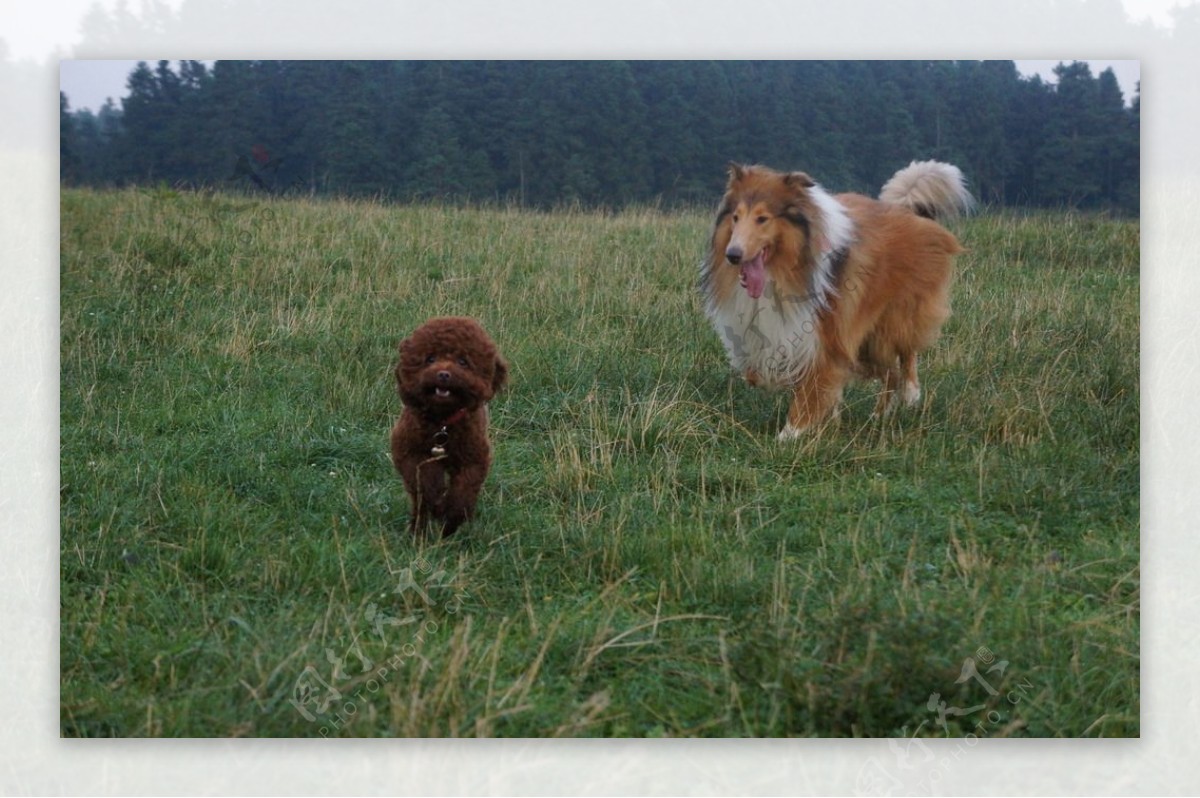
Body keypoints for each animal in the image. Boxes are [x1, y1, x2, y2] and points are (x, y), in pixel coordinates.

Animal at [700, 159, 969, 439]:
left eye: (762, 218)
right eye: (735, 217)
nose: (733, 255)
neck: (782, 271)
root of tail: (909, 212)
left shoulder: (826, 336)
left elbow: (810, 391)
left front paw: (789, 435)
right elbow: (760, 371)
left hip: (893, 319)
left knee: (905, 355)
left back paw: (910, 393)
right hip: (867, 341)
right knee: (889, 373)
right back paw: (879, 415)